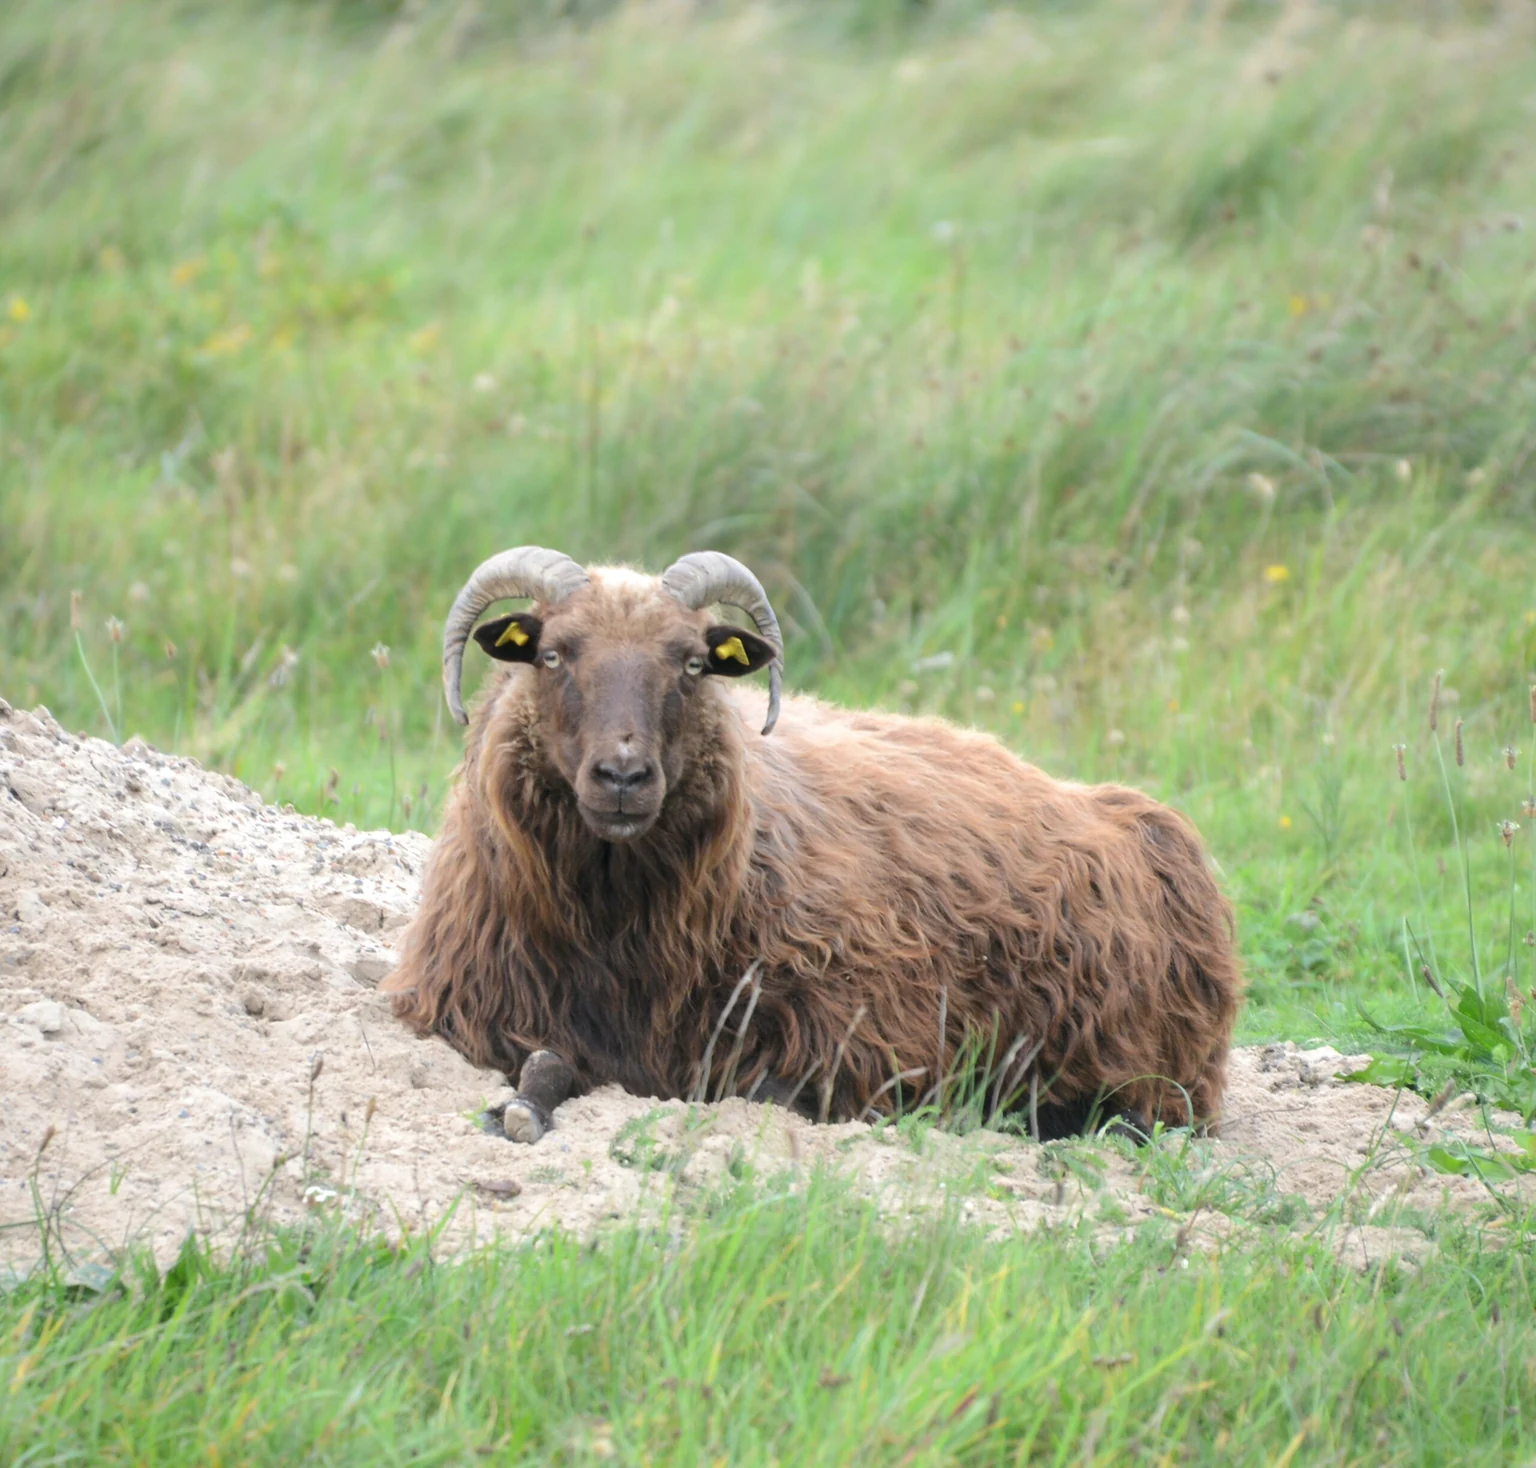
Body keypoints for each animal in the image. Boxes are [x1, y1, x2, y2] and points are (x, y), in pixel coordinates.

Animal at [385, 546, 1241, 1143]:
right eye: (552, 654)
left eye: (692, 663)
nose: (623, 776)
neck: (615, 932)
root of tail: (1131, 813)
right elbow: (546, 1060)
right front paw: (520, 1109)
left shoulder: (839, 1037)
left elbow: (752, 1090)